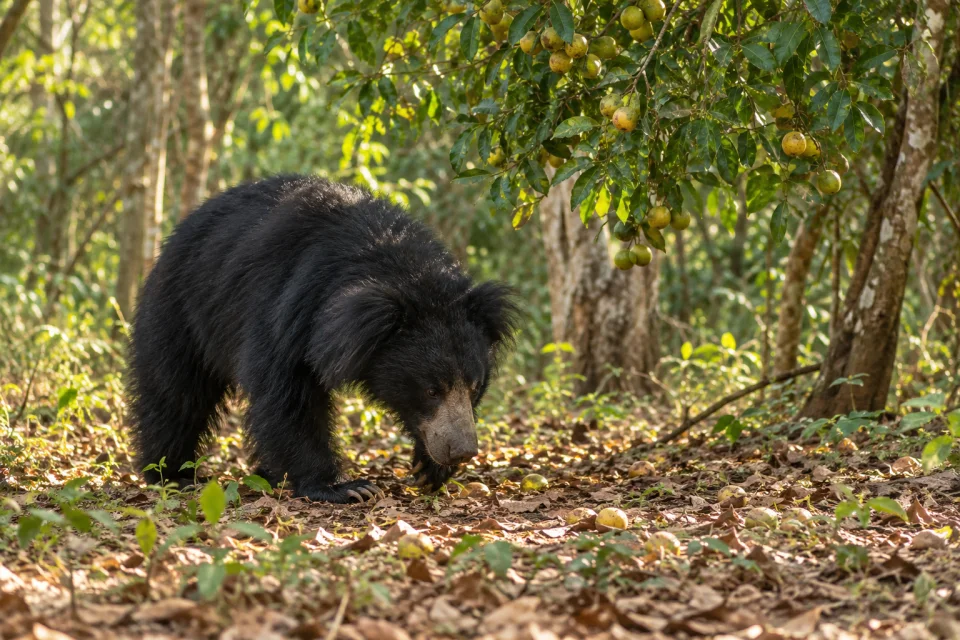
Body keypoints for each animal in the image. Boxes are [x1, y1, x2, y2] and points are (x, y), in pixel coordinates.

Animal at [127, 175, 518, 503]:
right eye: (432, 389)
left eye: (474, 386)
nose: (462, 450)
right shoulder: (285, 303)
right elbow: (285, 391)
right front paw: (344, 487)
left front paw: (429, 468)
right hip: (182, 309)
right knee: (176, 391)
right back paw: (171, 473)